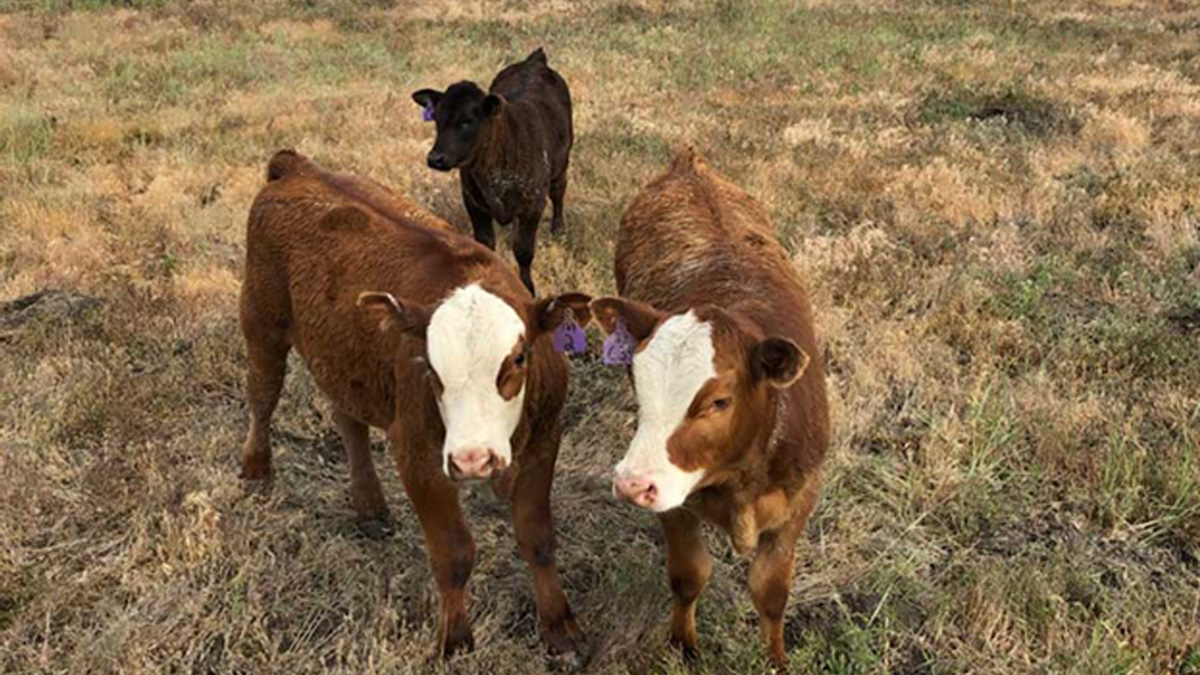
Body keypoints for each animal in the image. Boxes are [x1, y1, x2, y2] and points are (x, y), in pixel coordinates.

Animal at [237, 149, 590, 658]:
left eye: (519, 357)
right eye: (430, 365)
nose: (473, 459)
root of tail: (298, 167)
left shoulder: (545, 437)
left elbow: (538, 537)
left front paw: (560, 628)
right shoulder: (418, 454)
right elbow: (454, 552)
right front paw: (455, 638)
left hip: (346, 357)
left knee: (349, 420)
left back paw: (369, 506)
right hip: (261, 322)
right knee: (262, 396)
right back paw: (257, 468)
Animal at [412, 44, 571, 291]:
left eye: (467, 121)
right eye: (436, 119)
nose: (435, 158)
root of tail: (535, 62)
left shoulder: (533, 203)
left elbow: (524, 251)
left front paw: (527, 287)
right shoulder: (473, 201)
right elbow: (486, 243)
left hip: (562, 164)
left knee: (559, 193)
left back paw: (558, 229)